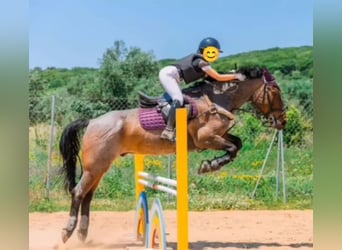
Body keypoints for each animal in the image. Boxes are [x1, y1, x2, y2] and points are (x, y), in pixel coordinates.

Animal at [58, 66, 286, 242]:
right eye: (275, 90)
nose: (283, 121)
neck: (217, 100)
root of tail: (91, 122)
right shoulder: (205, 139)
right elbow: (231, 148)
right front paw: (209, 166)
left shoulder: (217, 137)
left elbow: (237, 144)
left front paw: (211, 164)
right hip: (95, 167)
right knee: (78, 192)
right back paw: (68, 232)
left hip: (100, 167)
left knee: (88, 196)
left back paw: (82, 234)